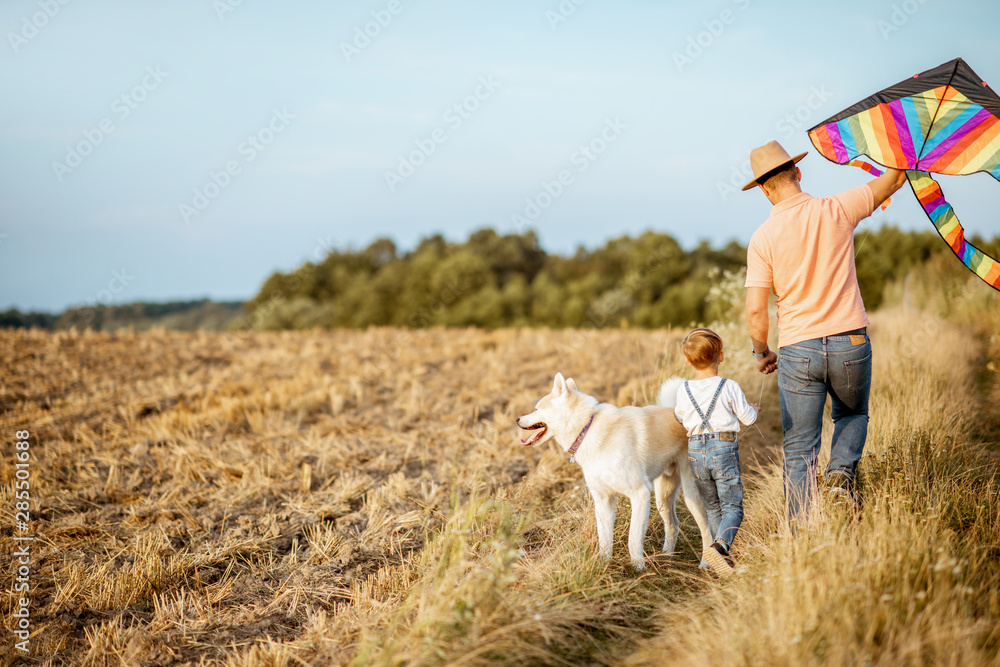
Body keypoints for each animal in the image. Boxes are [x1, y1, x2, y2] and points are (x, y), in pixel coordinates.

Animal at [516, 374, 712, 572]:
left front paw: (639, 569)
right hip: (662, 496)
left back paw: (705, 564)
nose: (517, 419)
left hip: (691, 495)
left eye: (536, 409)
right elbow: (604, 539)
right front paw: (604, 566)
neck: (587, 428)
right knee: (673, 525)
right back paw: (666, 558)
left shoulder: (640, 494)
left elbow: (633, 539)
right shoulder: (604, 500)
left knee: (707, 530)